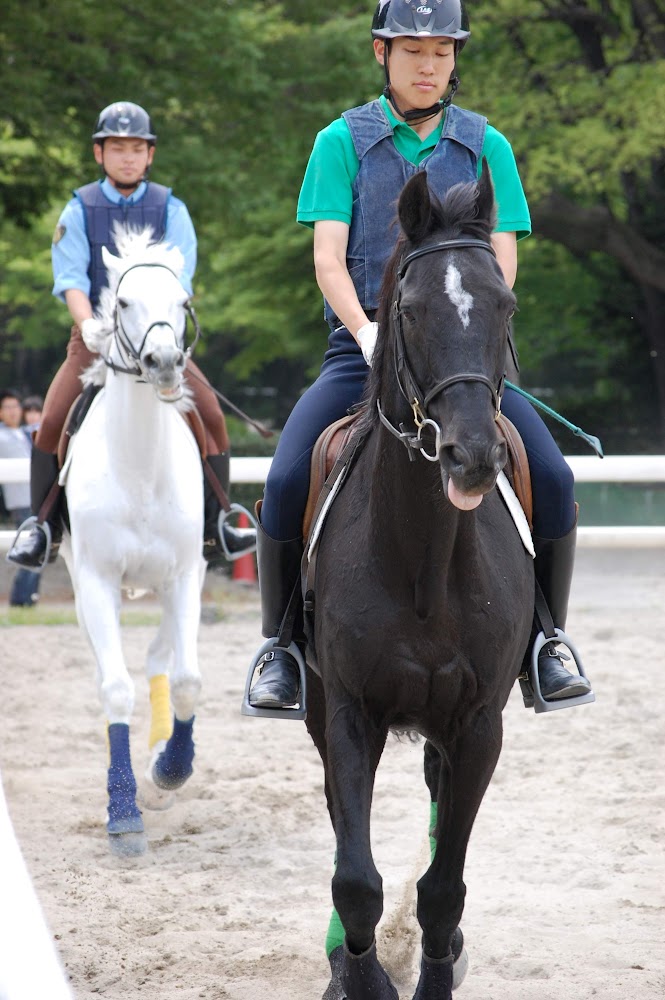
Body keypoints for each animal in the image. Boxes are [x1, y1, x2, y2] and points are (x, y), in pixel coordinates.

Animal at [306, 166, 536, 1000]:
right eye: (408, 311)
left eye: (503, 305)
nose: (471, 456)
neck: (424, 563)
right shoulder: (348, 713)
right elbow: (355, 877)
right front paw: (360, 977)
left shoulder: (477, 724)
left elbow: (441, 886)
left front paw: (434, 971)